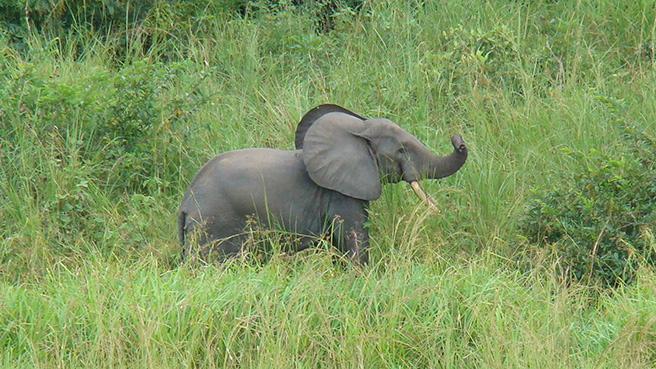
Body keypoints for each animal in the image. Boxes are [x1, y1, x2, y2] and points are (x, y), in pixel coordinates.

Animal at [177, 105, 468, 264]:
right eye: (402, 150)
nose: (457, 137)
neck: (357, 132)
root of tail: (185, 203)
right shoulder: (340, 193)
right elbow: (355, 241)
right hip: (212, 226)